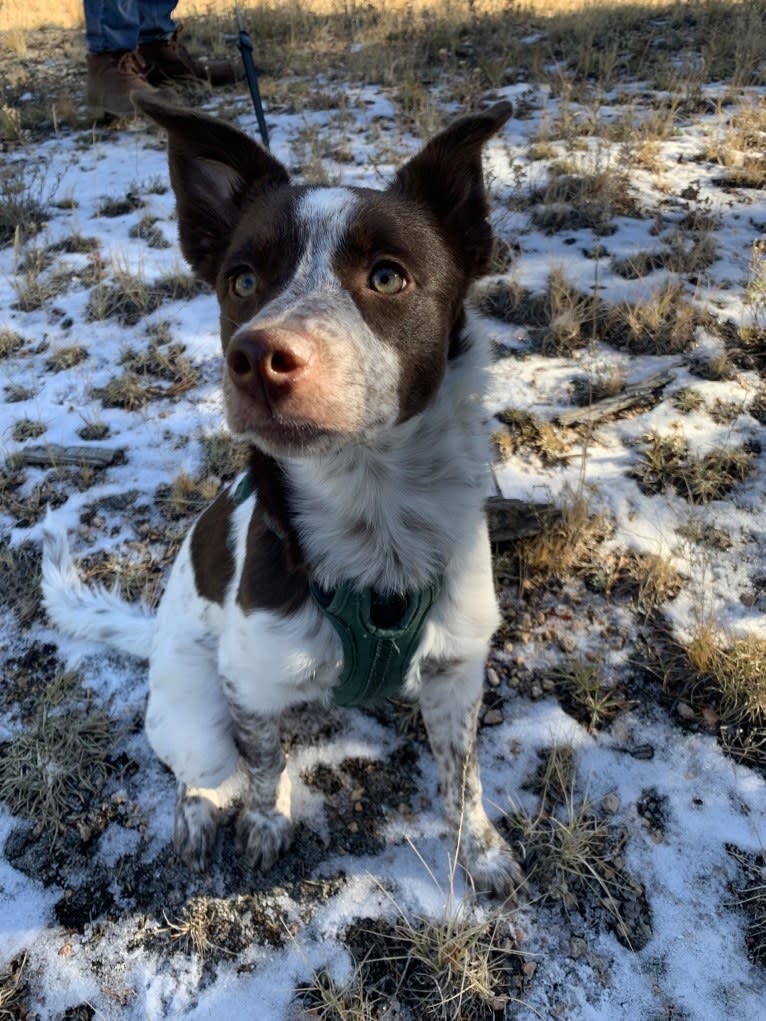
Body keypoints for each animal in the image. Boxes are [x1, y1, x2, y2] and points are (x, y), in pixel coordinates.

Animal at [43, 93, 522, 894]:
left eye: (387, 277)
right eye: (241, 281)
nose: (257, 357)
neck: (373, 514)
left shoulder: (458, 670)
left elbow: (463, 776)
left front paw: (481, 849)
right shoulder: (251, 684)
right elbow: (264, 767)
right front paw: (267, 823)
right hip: (194, 713)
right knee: (204, 768)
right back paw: (200, 812)